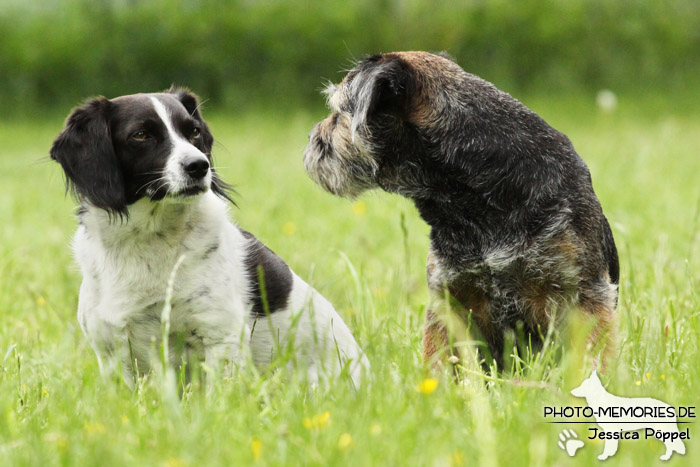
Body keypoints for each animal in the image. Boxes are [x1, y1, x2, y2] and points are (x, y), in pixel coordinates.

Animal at [50, 87, 370, 388]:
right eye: (141, 135)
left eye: (193, 132)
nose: (199, 165)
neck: (147, 243)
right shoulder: (112, 352)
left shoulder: (220, 336)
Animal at [306, 51, 616, 372]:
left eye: (338, 113)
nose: (311, 138)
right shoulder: (449, 300)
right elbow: (439, 362)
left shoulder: (584, 297)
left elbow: (591, 358)